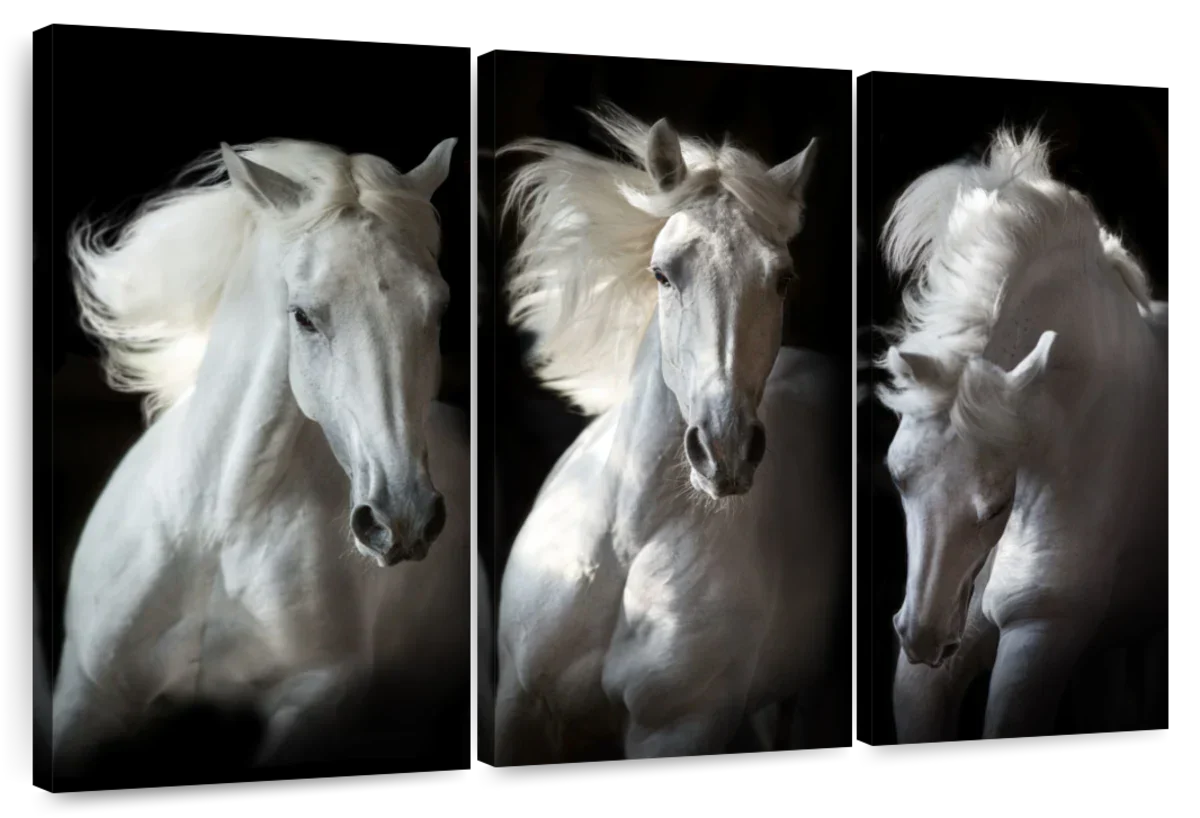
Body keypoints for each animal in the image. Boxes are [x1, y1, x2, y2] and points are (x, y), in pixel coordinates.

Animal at [51, 136, 472, 772]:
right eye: (303, 316)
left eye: (438, 310)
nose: (403, 518)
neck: (217, 528)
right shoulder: (85, 698)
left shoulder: (311, 706)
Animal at [492, 103, 849, 764]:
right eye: (662, 274)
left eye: (783, 279)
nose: (724, 449)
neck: (627, 539)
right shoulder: (520, 708)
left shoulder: (679, 728)